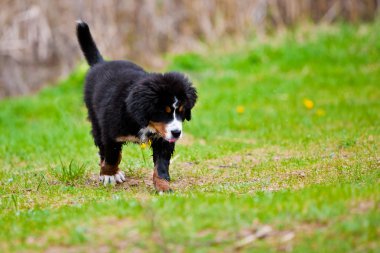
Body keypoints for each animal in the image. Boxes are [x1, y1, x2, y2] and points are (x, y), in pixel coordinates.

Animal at [76, 21, 197, 192]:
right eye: (163, 112)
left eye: (181, 111)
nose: (176, 133)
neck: (140, 119)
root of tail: (102, 63)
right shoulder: (110, 134)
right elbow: (112, 156)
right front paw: (109, 174)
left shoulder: (163, 140)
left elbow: (161, 166)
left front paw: (163, 186)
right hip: (96, 121)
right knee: (102, 149)